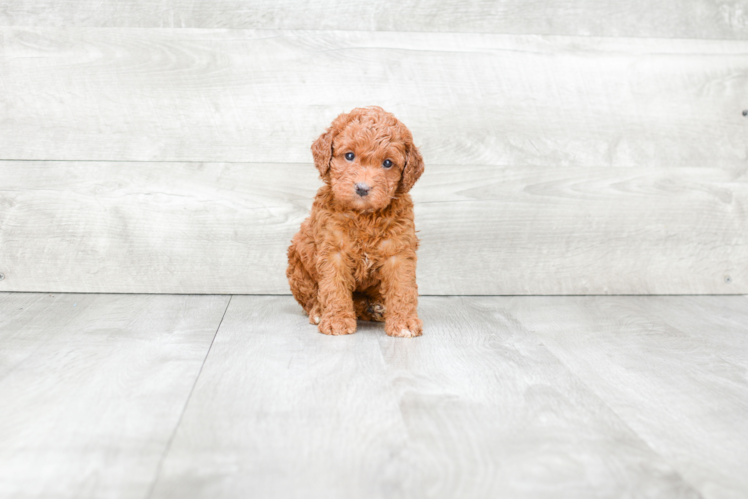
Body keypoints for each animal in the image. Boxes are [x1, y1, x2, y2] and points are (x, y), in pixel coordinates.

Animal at [288, 107, 426, 338]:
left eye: (387, 163)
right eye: (349, 156)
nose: (362, 188)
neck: (364, 216)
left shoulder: (399, 251)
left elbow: (402, 287)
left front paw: (404, 322)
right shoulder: (333, 251)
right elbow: (333, 286)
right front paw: (336, 320)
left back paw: (375, 307)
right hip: (297, 263)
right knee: (310, 298)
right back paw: (319, 312)